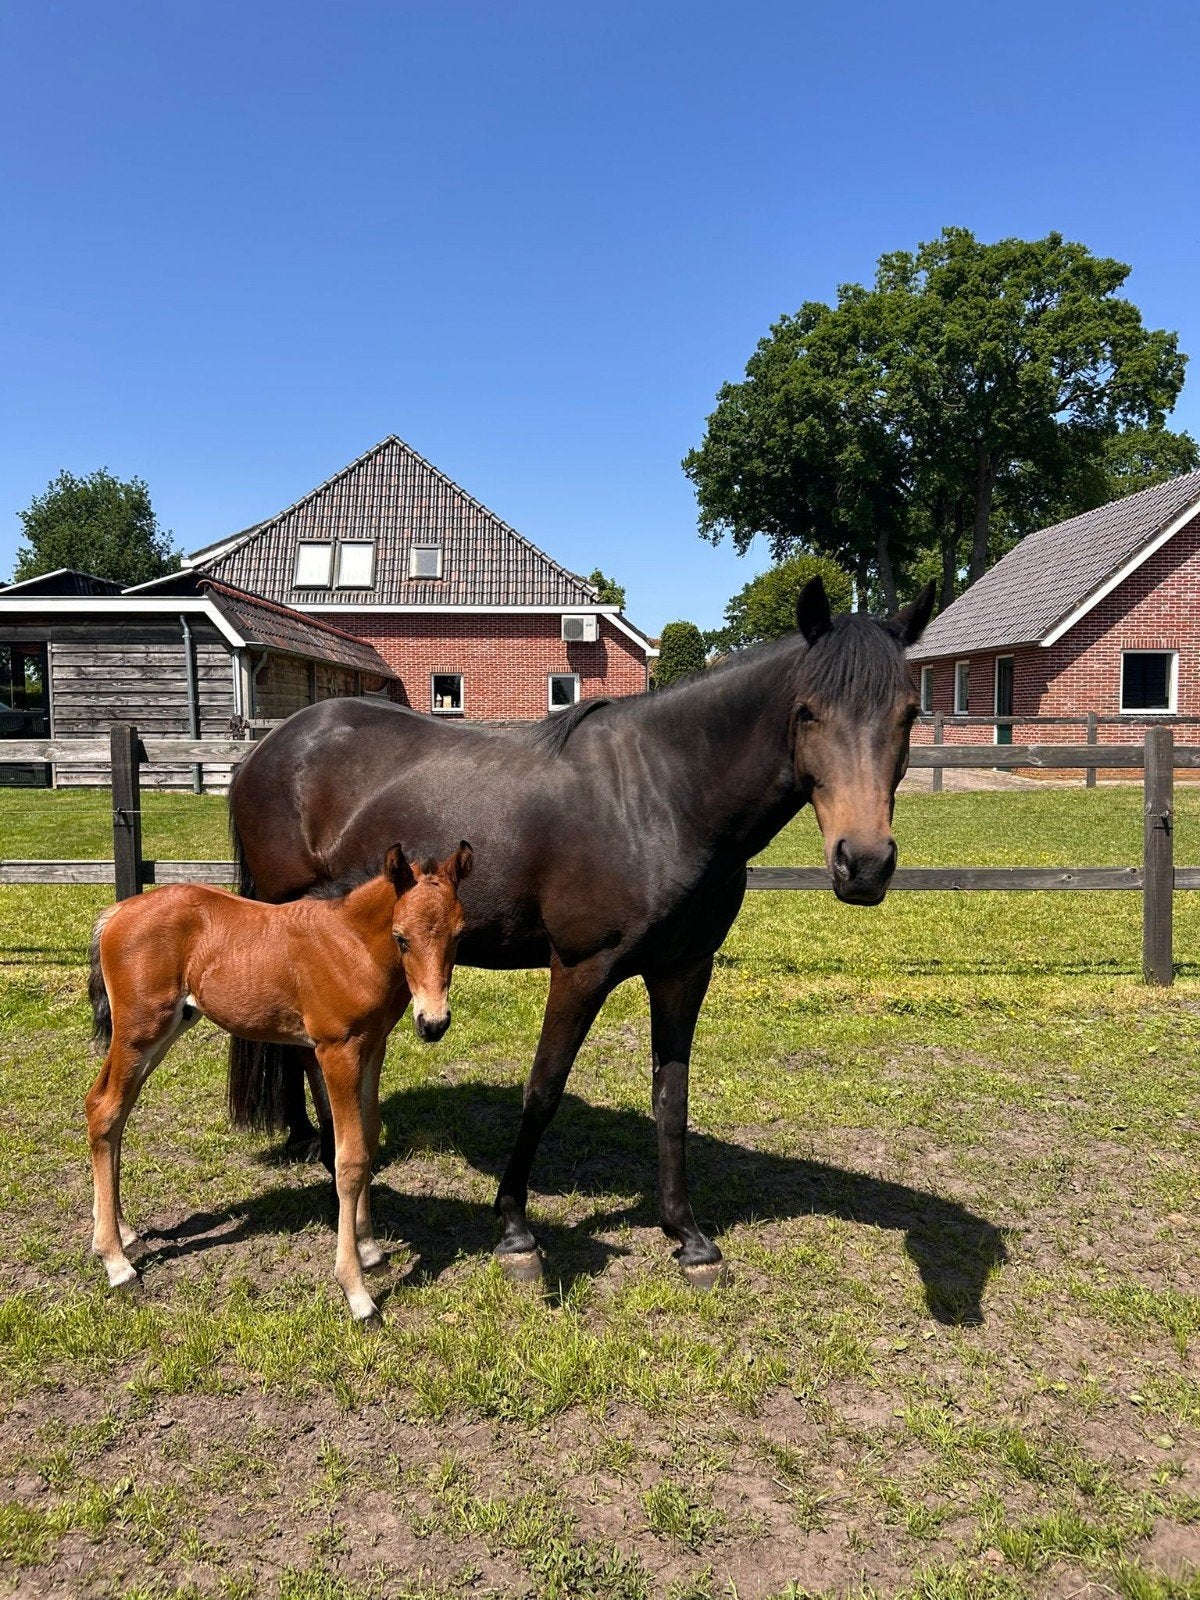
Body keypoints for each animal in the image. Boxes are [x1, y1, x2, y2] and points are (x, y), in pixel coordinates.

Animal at [86, 841, 472, 1322]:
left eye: (459, 936)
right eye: (401, 937)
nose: (433, 1023)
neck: (353, 946)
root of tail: (116, 912)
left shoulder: (372, 1047)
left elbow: (369, 1137)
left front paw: (368, 1248)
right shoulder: (335, 1051)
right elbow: (349, 1158)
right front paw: (356, 1292)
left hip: (162, 1032)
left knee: (112, 1113)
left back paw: (123, 1233)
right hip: (139, 1032)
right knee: (105, 1109)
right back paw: (116, 1263)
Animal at [227, 575, 935, 1286]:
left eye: (907, 712)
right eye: (808, 711)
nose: (863, 864)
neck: (660, 800)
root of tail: (269, 747)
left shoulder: (684, 970)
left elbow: (671, 1098)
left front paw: (688, 1238)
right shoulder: (580, 969)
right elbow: (543, 1090)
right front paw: (516, 1231)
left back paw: (310, 1141)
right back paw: (333, 1161)